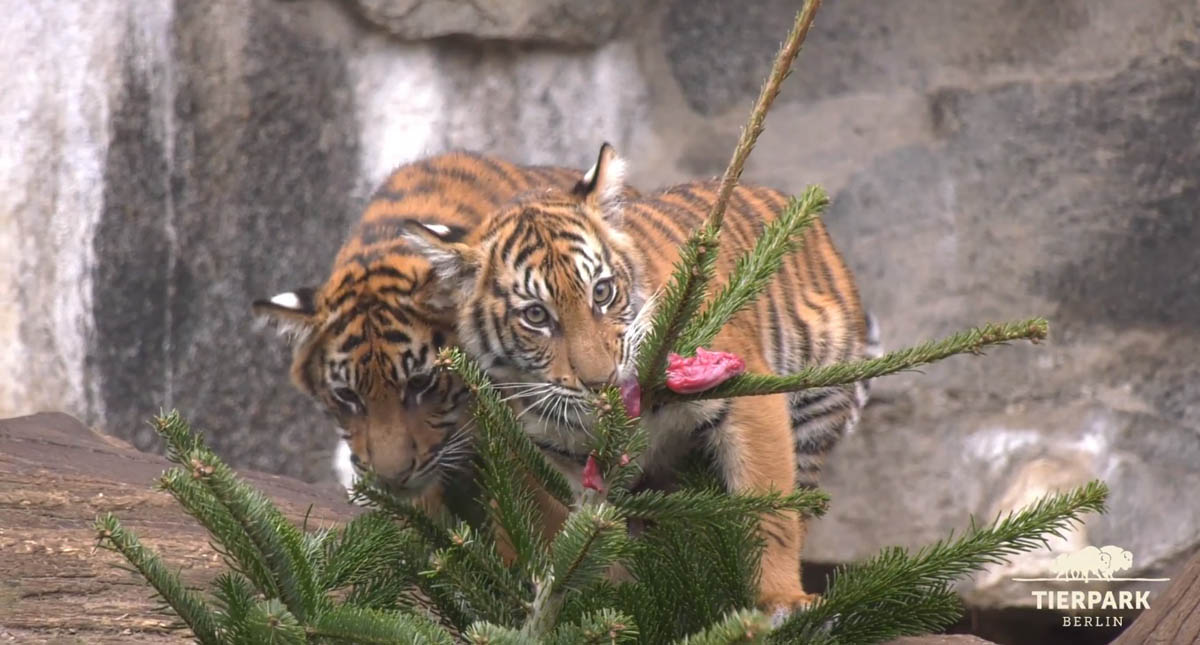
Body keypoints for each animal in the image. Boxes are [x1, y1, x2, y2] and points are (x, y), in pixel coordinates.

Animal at [402, 143, 871, 616]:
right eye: (536, 315)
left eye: (602, 292)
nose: (601, 381)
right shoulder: (546, 453)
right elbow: (564, 543)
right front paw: (564, 606)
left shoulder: (743, 395)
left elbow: (767, 510)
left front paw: (780, 600)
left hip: (818, 403)